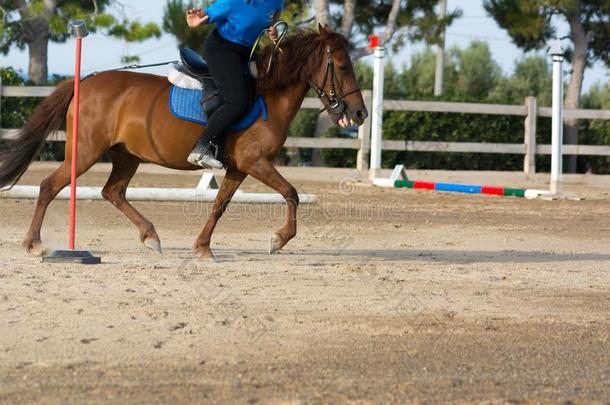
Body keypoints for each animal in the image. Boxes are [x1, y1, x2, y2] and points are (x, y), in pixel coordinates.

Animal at [0, 26, 366, 258]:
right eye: (342, 66)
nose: (360, 113)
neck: (267, 94)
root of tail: (85, 82)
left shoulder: (239, 168)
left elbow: (220, 204)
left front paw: (203, 247)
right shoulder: (256, 162)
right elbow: (291, 193)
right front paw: (279, 239)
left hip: (126, 156)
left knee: (113, 192)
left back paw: (151, 236)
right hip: (85, 152)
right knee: (49, 186)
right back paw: (34, 243)